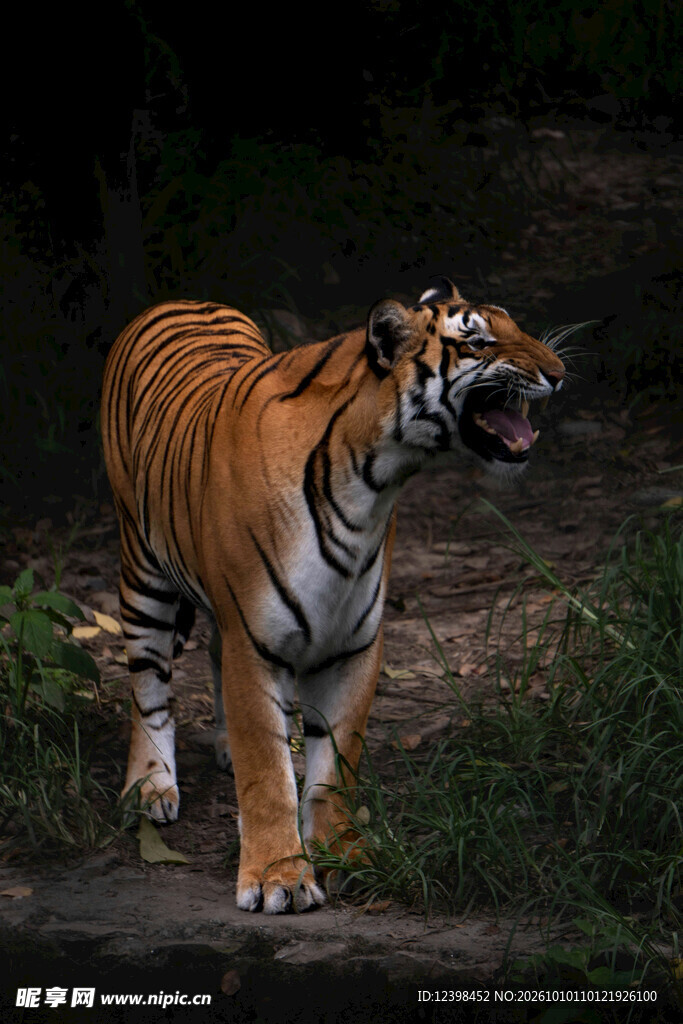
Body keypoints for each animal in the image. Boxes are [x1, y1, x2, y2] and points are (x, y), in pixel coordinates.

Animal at [101, 276, 565, 915]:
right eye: (476, 340)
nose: (560, 372)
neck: (372, 479)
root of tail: (180, 299)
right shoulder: (255, 639)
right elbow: (266, 771)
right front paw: (278, 877)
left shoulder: (353, 642)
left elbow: (336, 763)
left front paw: (345, 855)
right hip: (142, 569)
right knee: (148, 685)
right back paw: (150, 787)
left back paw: (221, 748)